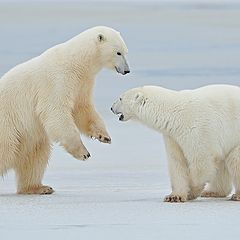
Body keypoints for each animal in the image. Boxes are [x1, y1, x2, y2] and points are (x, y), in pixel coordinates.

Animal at [0, 25, 129, 195]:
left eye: (125, 51)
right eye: (118, 52)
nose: (127, 70)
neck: (76, 62)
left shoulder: (82, 84)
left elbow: (82, 110)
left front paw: (104, 136)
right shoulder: (57, 81)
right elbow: (56, 112)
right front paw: (83, 153)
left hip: (28, 138)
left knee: (35, 156)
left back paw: (39, 187)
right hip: (8, 123)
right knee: (7, 149)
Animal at [111, 85, 240, 202]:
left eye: (120, 98)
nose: (111, 108)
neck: (174, 113)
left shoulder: (198, 129)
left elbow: (202, 160)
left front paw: (191, 191)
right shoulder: (173, 136)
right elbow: (177, 162)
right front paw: (174, 196)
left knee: (234, 160)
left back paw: (236, 195)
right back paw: (212, 192)